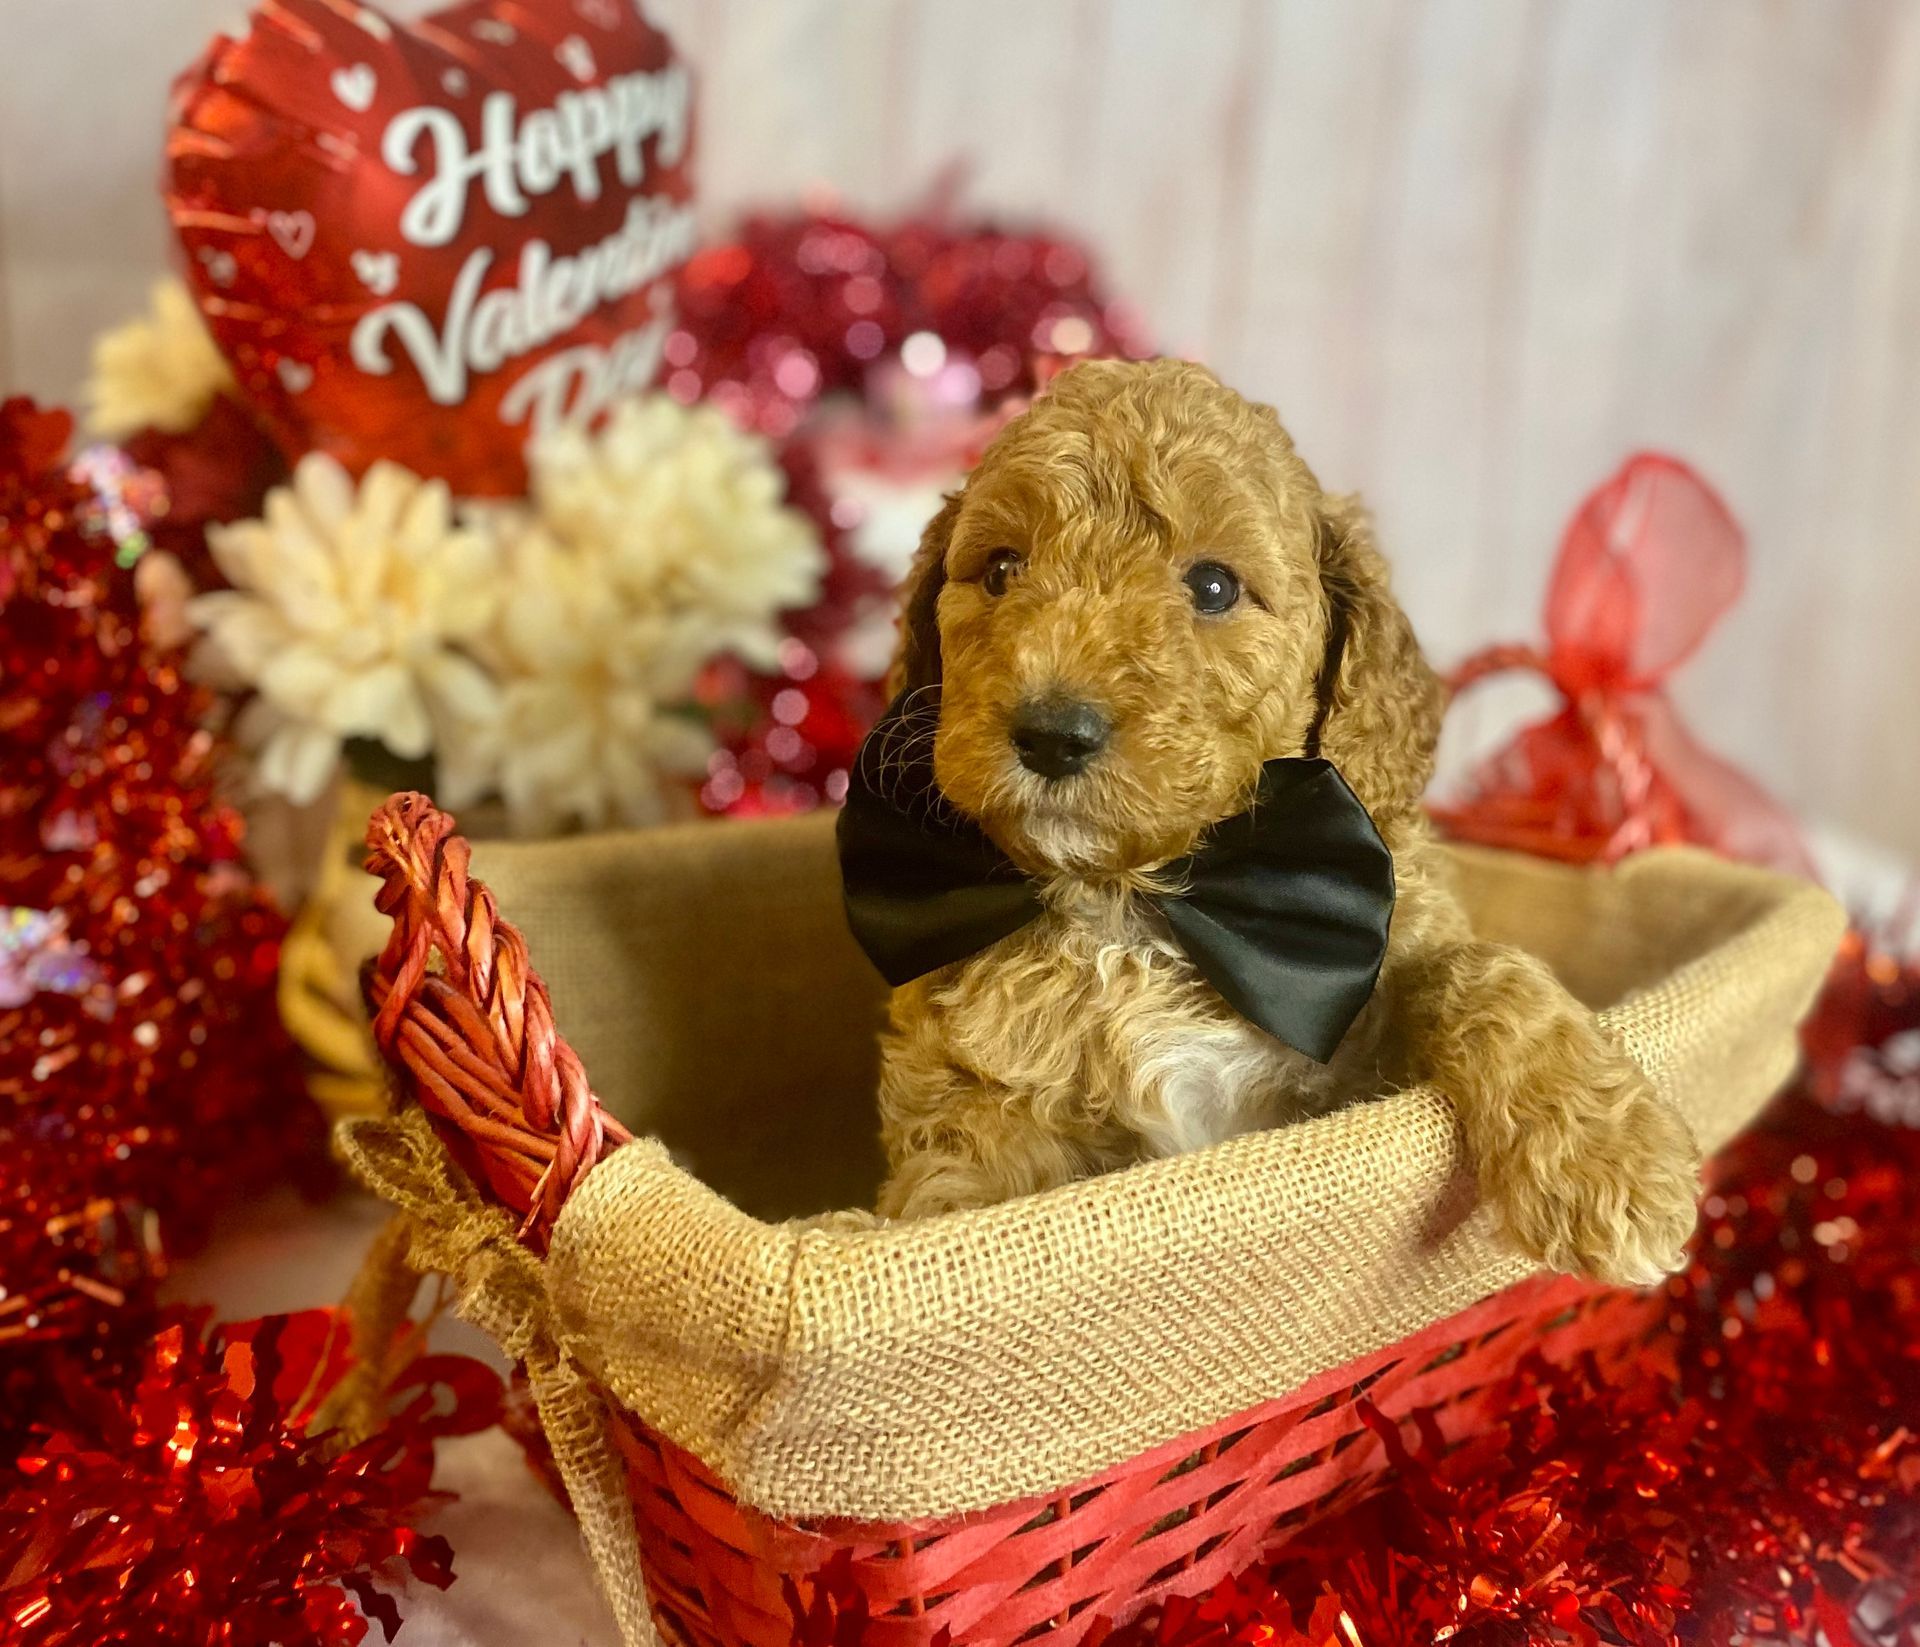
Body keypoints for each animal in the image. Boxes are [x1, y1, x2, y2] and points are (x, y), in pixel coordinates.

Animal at [864, 357, 1704, 1282]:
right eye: (1002, 568)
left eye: (1214, 586)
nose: (1051, 732)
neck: (1148, 907)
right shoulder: (976, 1094)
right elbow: (958, 1192)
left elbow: (1475, 965)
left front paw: (1611, 1160)